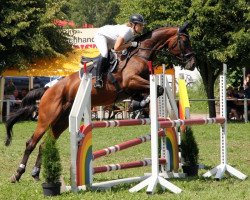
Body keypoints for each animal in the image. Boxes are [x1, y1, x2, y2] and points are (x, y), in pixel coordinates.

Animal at [5, 22, 195, 183]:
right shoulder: (131, 81)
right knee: (31, 143)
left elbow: (154, 91)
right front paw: (139, 104)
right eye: (185, 42)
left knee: (46, 144)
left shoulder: (136, 86)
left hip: (61, 121)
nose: (192, 64)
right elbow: (158, 89)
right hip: (47, 118)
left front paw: (137, 104)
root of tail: (49, 89)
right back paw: (17, 174)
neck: (140, 54)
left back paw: (36, 174)